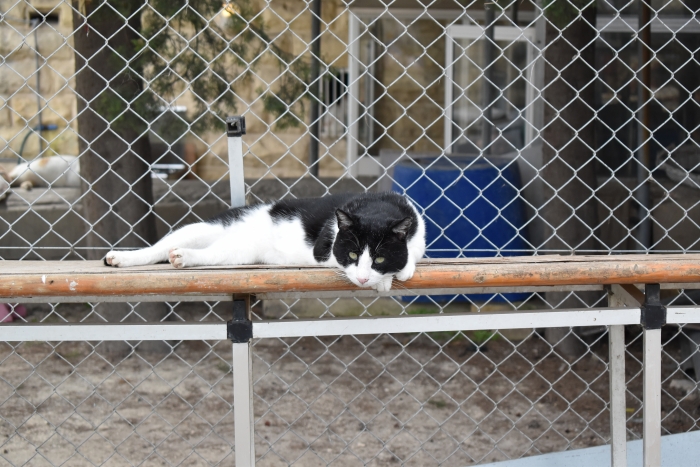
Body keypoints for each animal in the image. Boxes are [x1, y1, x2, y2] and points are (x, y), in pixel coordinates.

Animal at [104, 192, 426, 291]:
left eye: (380, 257)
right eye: (352, 254)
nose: (362, 279)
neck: (377, 207)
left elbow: (411, 254)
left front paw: (397, 271)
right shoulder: (324, 250)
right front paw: (384, 281)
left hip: (237, 251)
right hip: (205, 230)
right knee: (162, 248)